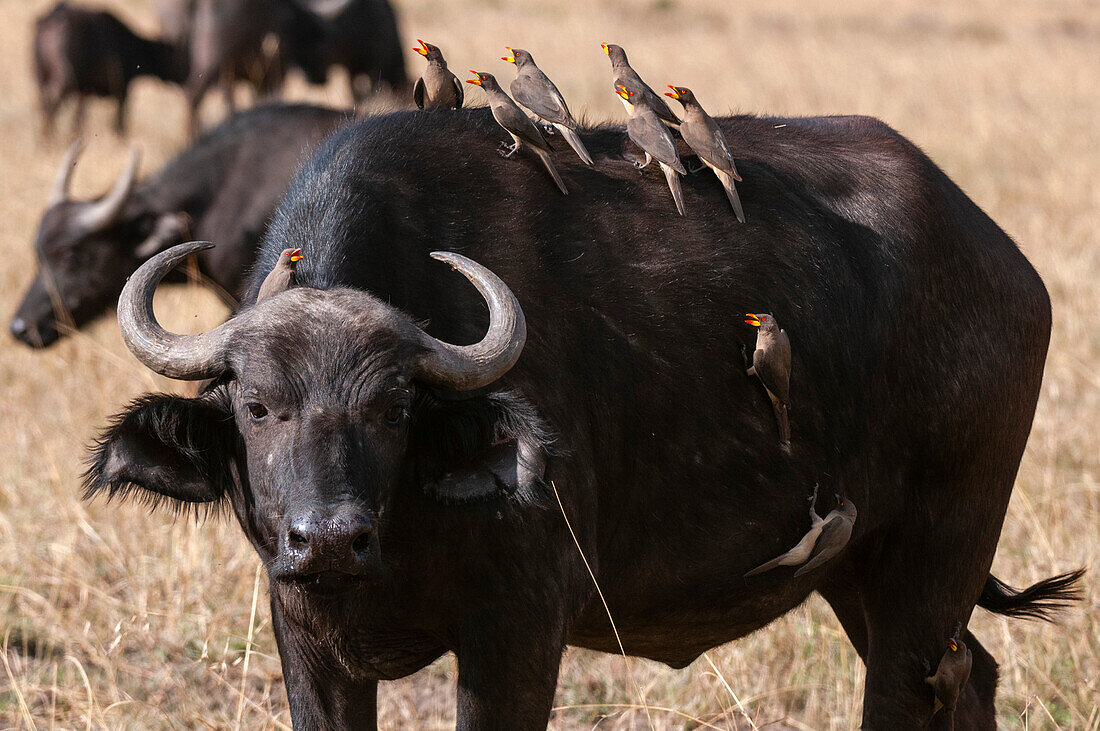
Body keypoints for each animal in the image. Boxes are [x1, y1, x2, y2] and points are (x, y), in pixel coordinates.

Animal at [33, 1, 185, 136]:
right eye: (174, 57)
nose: (184, 77)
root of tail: (51, 21)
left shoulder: (84, 93)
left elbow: (78, 120)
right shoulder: (122, 92)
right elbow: (119, 122)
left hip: (41, 78)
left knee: (43, 104)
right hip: (65, 80)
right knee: (51, 103)